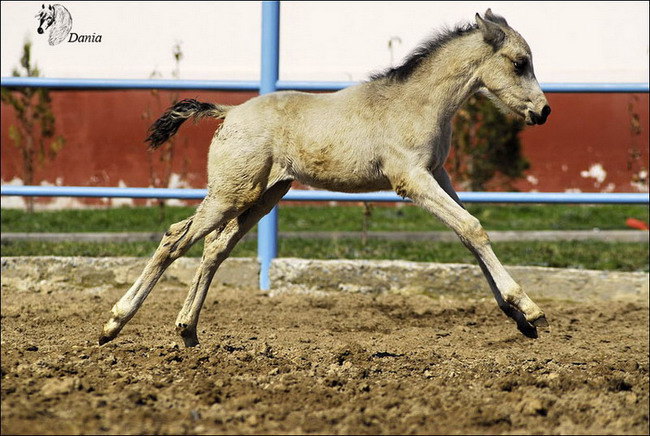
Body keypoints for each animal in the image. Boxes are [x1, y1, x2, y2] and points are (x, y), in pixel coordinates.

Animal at [98, 8, 548, 346]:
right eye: (519, 63)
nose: (543, 112)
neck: (416, 103)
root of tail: (229, 111)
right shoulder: (412, 179)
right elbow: (472, 228)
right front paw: (528, 307)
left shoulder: (438, 175)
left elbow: (466, 233)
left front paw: (517, 317)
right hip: (229, 194)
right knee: (175, 238)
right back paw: (113, 324)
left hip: (261, 197)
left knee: (214, 248)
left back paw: (187, 329)